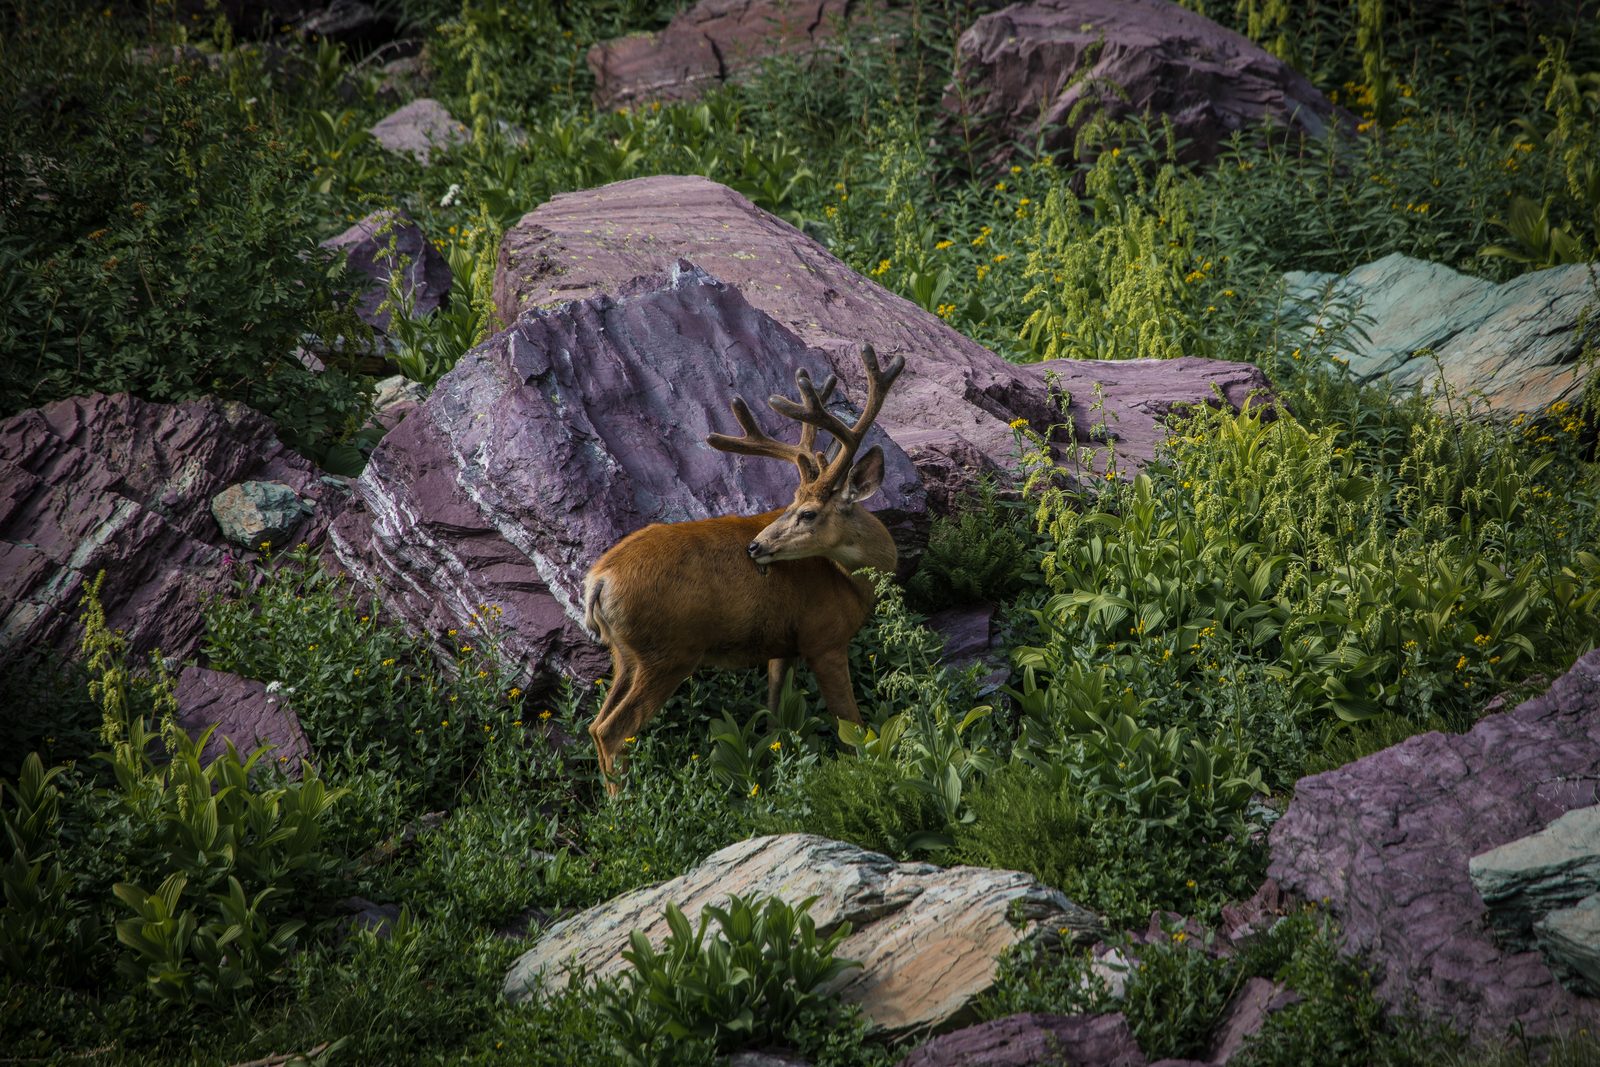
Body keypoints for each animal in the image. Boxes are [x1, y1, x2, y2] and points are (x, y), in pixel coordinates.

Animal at [581, 343, 905, 794]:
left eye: (805, 511)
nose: (756, 546)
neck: (851, 582)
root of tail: (599, 580)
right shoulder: (824, 638)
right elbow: (852, 726)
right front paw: (871, 773)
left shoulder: (782, 644)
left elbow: (773, 717)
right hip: (667, 652)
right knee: (613, 730)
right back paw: (623, 803)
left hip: (625, 653)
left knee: (595, 725)